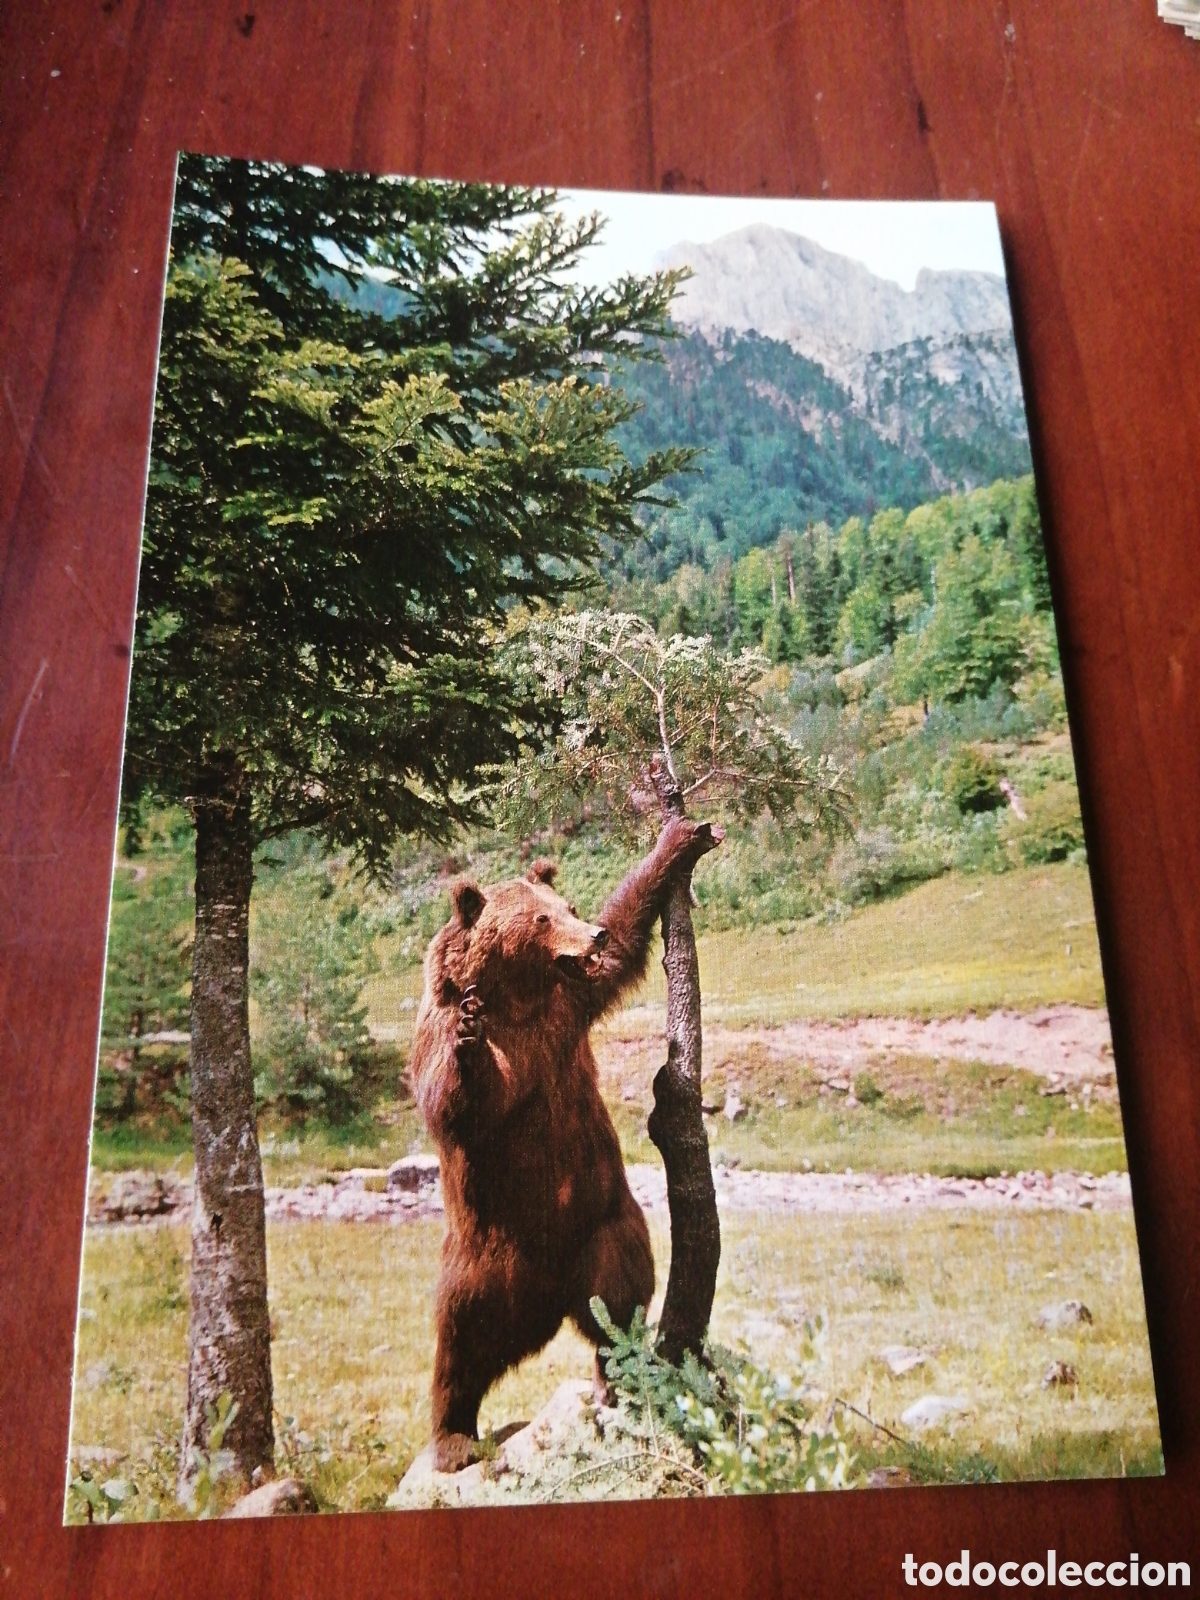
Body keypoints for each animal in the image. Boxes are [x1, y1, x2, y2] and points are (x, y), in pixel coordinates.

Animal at [409, 814, 723, 1471]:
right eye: (539, 919)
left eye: (570, 906)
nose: (591, 936)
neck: (519, 1000)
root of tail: (544, 1300)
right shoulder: (445, 1030)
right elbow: (450, 1101)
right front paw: (470, 1044)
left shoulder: (569, 1008)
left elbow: (629, 937)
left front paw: (680, 840)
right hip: (482, 1260)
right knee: (459, 1343)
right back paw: (453, 1439)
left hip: (601, 1225)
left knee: (617, 1300)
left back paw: (616, 1378)